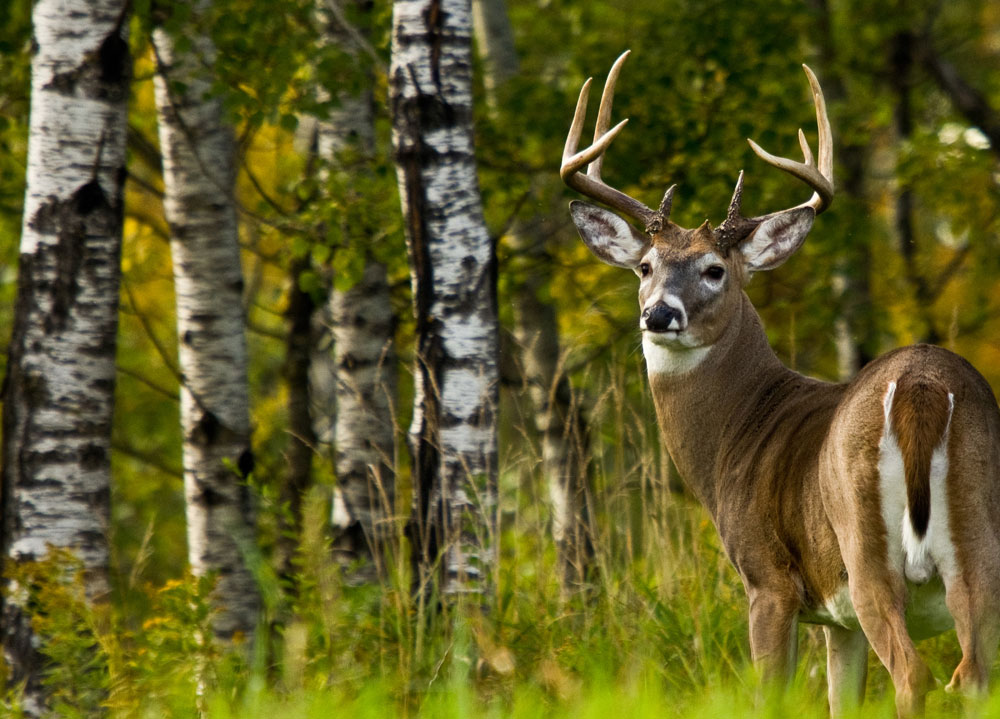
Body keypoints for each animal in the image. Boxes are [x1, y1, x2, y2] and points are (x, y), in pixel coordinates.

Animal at [564, 49, 1000, 716]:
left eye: (714, 270)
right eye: (644, 266)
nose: (658, 314)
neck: (738, 431)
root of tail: (921, 388)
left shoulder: (767, 580)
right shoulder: (837, 622)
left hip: (866, 547)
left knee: (914, 673)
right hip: (980, 541)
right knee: (973, 673)